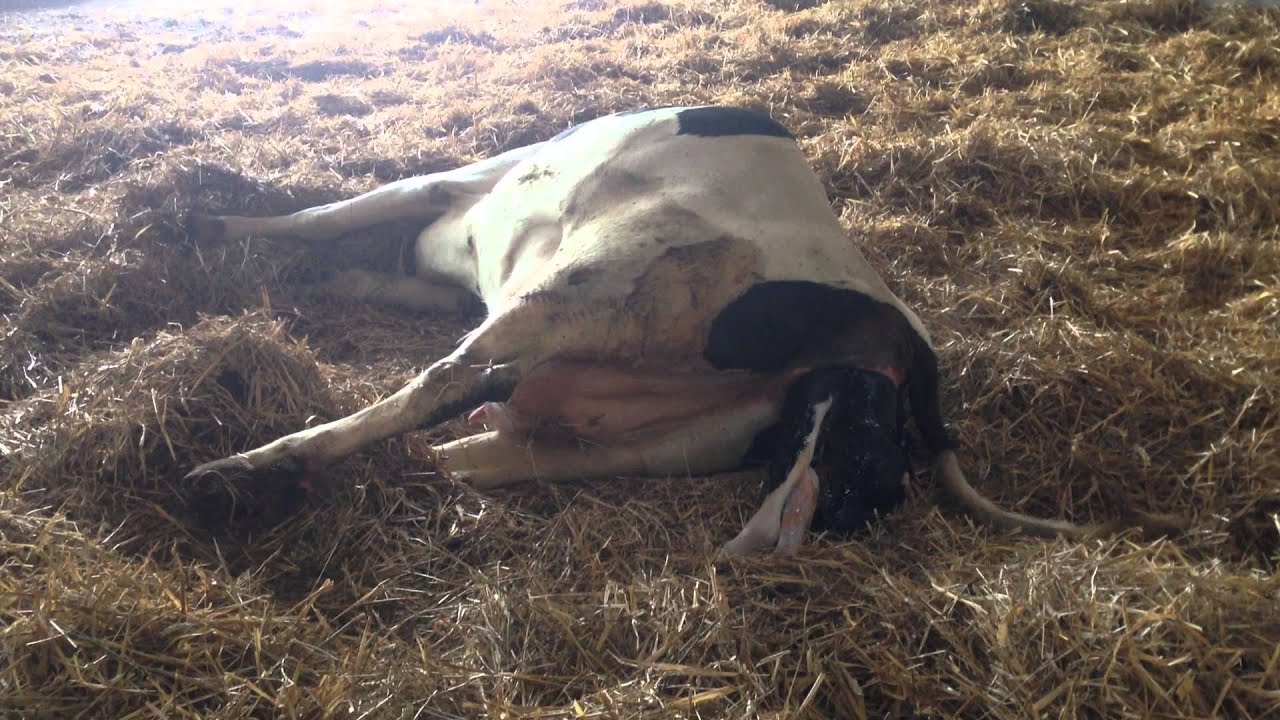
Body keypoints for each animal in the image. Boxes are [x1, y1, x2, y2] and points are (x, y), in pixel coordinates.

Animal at [185, 106, 1180, 554]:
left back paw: (241, 467)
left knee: (444, 383)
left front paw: (218, 223)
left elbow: (328, 214)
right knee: (491, 443)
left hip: (594, 287)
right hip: (684, 430)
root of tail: (893, 327)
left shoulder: (472, 192)